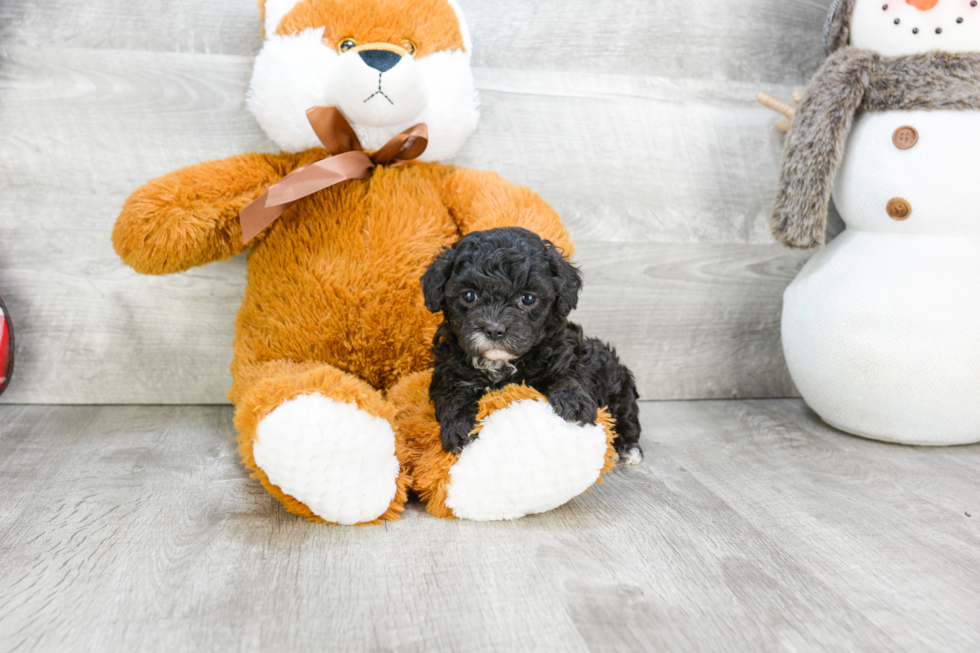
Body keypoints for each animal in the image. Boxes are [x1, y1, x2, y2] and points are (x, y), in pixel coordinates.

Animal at [422, 227, 644, 460]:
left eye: (527, 298)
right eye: (469, 296)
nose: (494, 329)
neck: (501, 364)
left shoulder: (566, 356)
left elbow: (569, 376)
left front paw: (575, 403)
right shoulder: (448, 372)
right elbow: (454, 396)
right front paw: (459, 428)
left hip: (616, 386)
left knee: (626, 415)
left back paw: (629, 448)